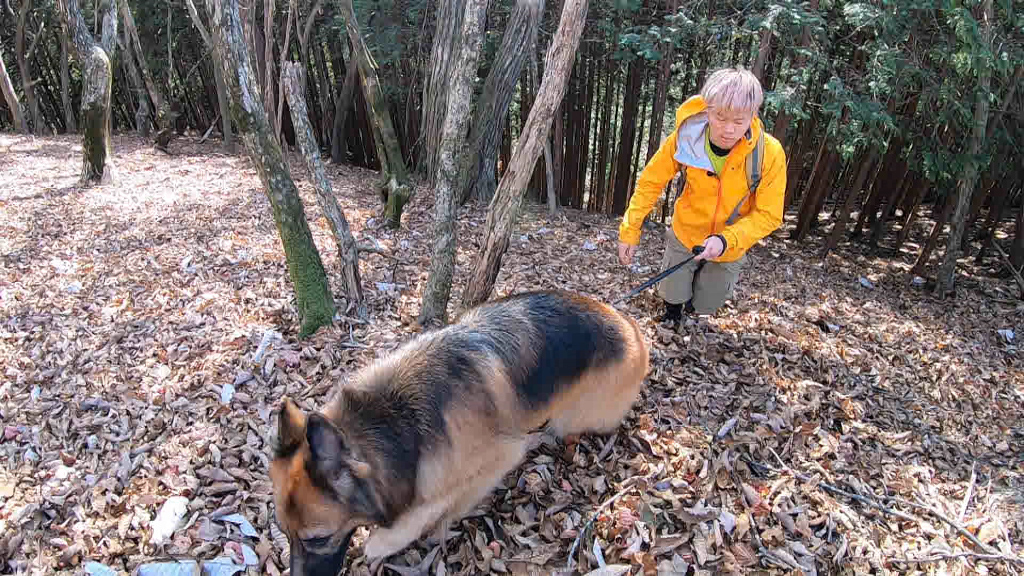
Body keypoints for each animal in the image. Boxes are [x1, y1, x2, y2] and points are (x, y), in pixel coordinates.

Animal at [266, 289, 647, 569]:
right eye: (284, 532)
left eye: (317, 539)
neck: (393, 419)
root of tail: (634, 331)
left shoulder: (497, 458)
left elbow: (439, 500)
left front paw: (389, 539)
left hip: (578, 416)